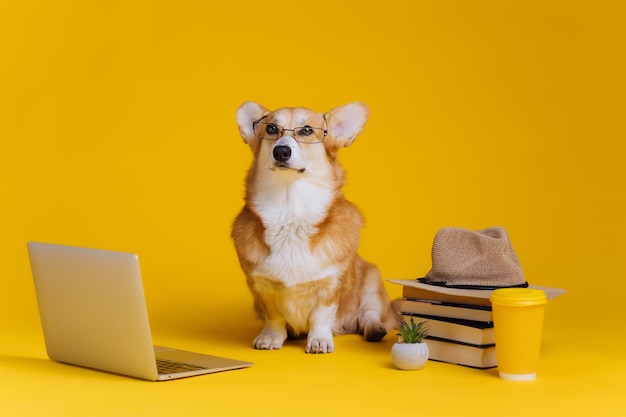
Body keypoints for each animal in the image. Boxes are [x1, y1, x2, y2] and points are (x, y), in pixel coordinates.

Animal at [232, 101, 398, 352]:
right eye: (271, 129)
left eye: (307, 131)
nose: (281, 151)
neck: (291, 210)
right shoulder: (261, 288)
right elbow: (275, 317)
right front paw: (271, 337)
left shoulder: (331, 286)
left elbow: (321, 316)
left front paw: (319, 341)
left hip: (371, 282)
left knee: (369, 314)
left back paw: (374, 329)